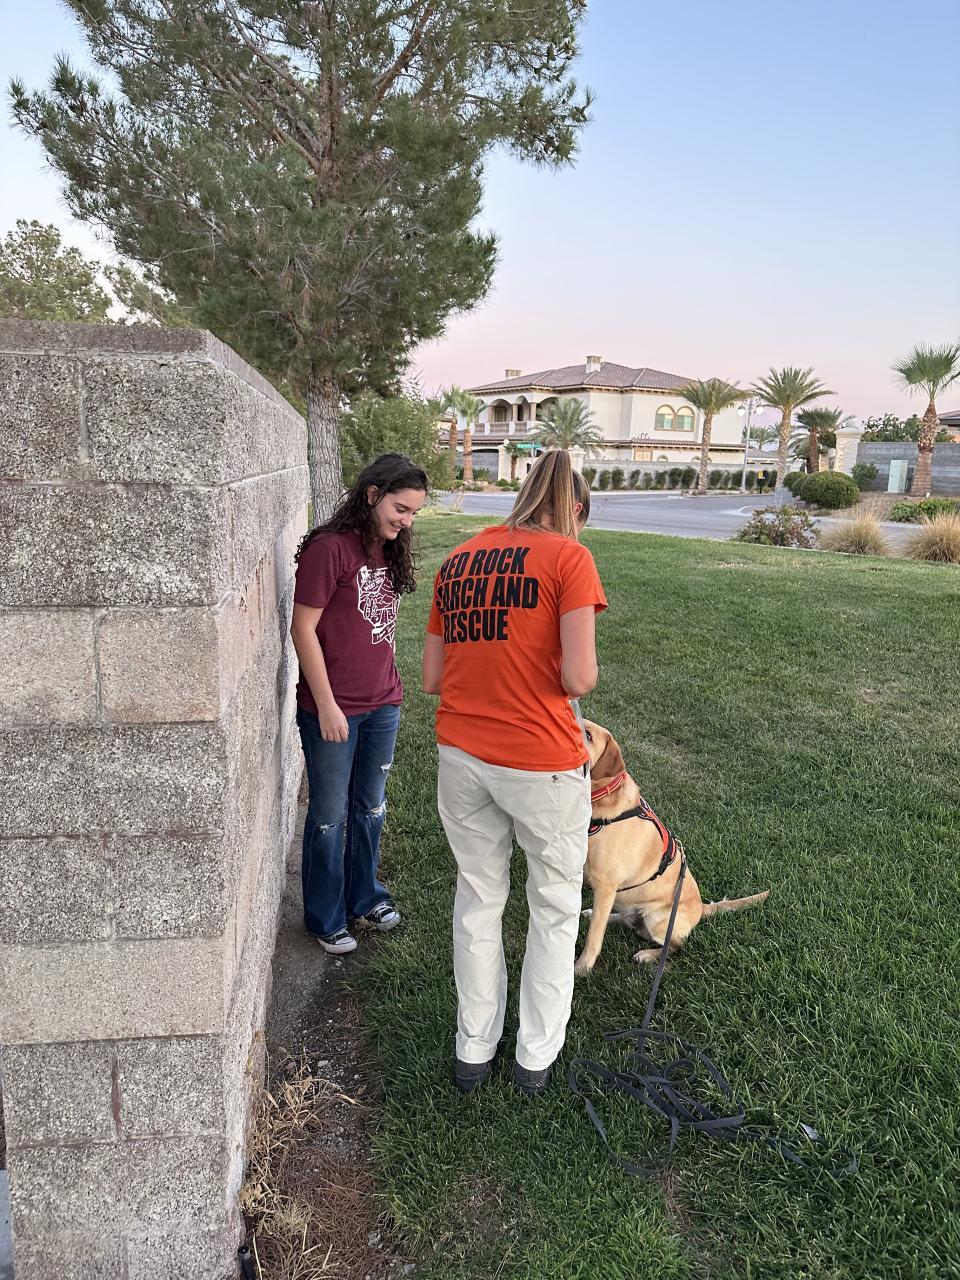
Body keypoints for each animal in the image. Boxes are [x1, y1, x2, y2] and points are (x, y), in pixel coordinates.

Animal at [574, 720, 768, 975]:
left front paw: (582, 966)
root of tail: (702, 908)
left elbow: (594, 936)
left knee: (674, 946)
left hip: (657, 920)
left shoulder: (606, 885)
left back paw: (648, 954)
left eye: (588, 735)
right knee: (622, 918)